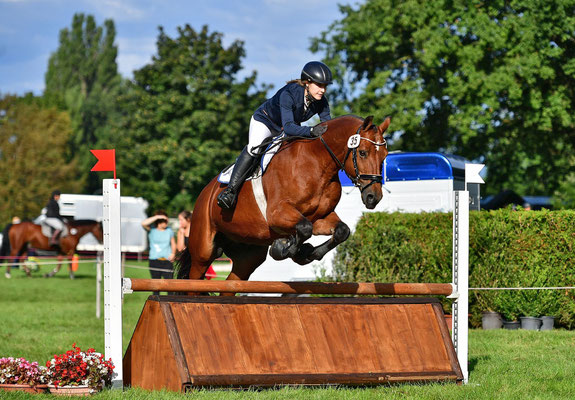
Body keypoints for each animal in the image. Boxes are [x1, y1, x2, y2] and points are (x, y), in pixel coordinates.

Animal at [178, 114, 390, 290]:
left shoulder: (319, 217)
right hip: (203, 251)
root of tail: (206, 192)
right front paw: (284, 248)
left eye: (384, 156)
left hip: (247, 255)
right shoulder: (277, 215)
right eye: (362, 153)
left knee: (231, 284)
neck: (317, 164)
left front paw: (304, 253)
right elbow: (304, 228)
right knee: (194, 280)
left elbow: (341, 231)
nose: (373, 197)